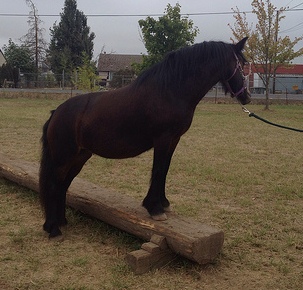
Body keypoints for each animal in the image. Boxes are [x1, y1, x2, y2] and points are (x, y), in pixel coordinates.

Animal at [39, 37, 251, 237]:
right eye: (241, 65)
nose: (247, 96)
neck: (170, 90)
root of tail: (56, 112)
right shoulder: (163, 139)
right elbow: (158, 170)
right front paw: (155, 208)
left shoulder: (174, 140)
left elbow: (165, 169)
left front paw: (163, 203)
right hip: (63, 158)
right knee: (54, 185)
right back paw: (53, 229)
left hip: (80, 157)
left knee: (63, 185)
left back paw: (62, 222)